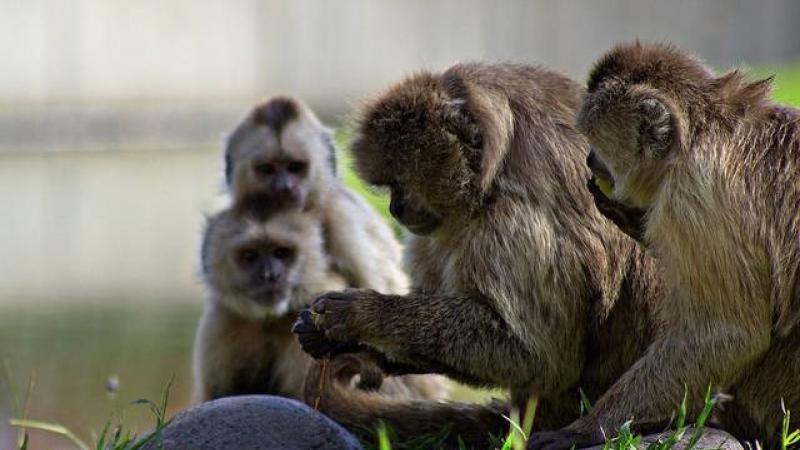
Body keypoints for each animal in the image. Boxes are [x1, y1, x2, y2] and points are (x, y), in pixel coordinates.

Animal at [193, 209, 444, 402]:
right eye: (250, 255)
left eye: (281, 253)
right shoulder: (222, 322)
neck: (272, 318)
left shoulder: (320, 302)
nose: (269, 275)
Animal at [290, 61, 664, 448]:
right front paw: (355, 344)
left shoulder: (513, 220)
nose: (395, 208)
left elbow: (540, 360)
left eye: (400, 184)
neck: (493, 177)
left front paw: (364, 314)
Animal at [528, 40, 796, 448]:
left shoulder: (698, 195)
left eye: (596, 145)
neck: (706, 132)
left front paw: (584, 429)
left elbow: (728, 335)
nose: (589, 158)